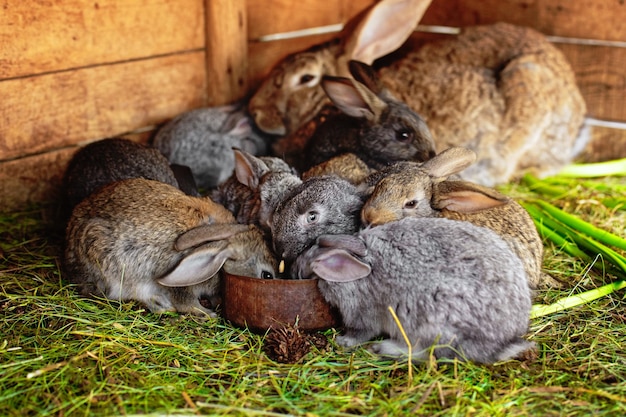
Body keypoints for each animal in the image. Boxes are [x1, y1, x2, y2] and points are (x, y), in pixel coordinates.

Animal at [292, 216, 532, 362]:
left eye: (304, 267)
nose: (293, 270)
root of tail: (503, 342)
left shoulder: (361, 314)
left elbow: (361, 333)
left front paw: (342, 341)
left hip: (431, 323)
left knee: (427, 353)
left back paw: (384, 348)